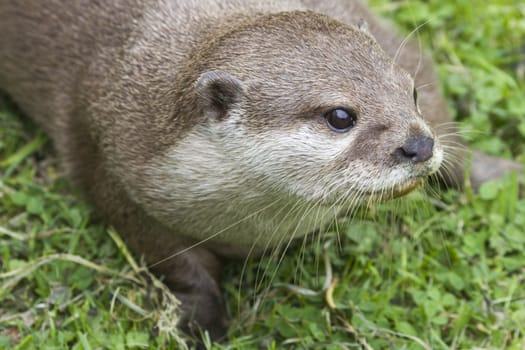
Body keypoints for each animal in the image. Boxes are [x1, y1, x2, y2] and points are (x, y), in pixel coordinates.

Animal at [0, 0, 520, 340]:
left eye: (409, 93)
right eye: (340, 116)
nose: (418, 144)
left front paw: (494, 171)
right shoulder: (110, 167)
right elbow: (175, 262)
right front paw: (204, 323)